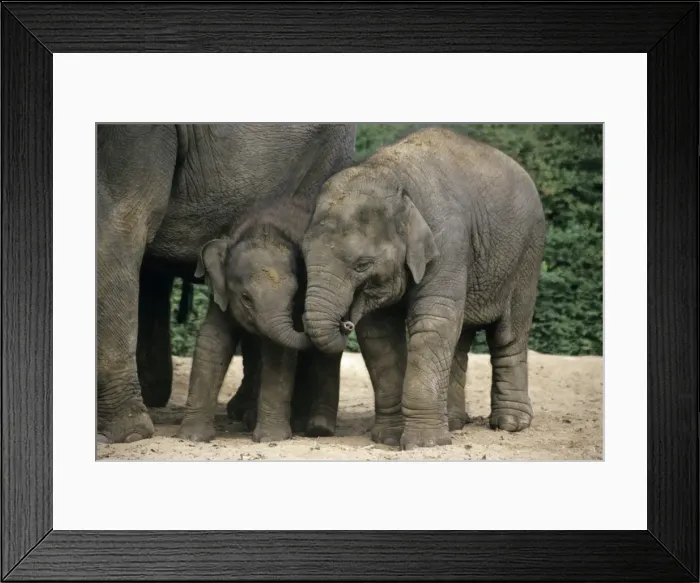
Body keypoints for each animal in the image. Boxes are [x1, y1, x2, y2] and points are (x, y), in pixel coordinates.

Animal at [177, 196, 341, 443]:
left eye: (294, 297)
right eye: (246, 298)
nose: (304, 317)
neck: (263, 229)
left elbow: (279, 352)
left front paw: (270, 439)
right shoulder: (221, 293)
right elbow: (213, 340)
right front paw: (193, 437)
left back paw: (312, 427)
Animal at [301, 127, 547, 450]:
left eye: (362, 264)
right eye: (303, 255)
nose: (345, 321)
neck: (394, 177)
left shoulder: (448, 241)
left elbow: (433, 322)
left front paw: (424, 444)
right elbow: (379, 336)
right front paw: (388, 438)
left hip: (527, 254)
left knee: (508, 334)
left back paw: (510, 424)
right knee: (460, 337)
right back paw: (454, 423)